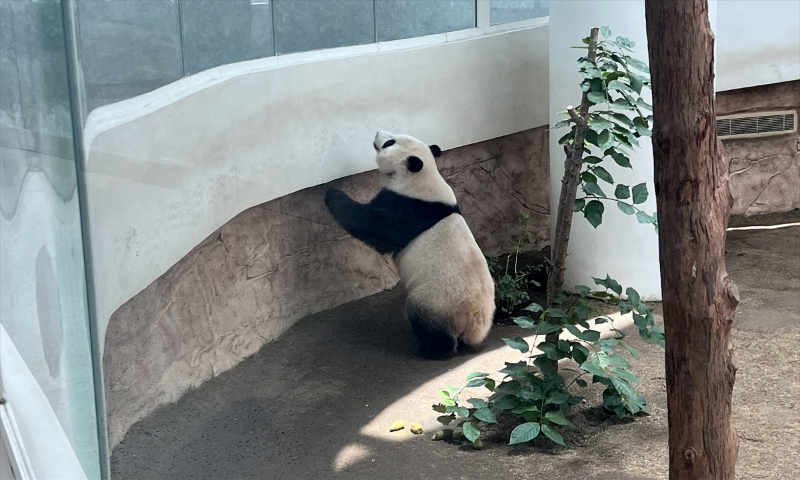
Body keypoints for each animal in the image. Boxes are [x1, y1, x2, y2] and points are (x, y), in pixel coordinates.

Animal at [324, 130, 495, 359]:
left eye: (390, 142)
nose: (377, 132)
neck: (422, 175)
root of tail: (473, 322)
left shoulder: (408, 206)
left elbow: (375, 227)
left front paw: (332, 194)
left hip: (436, 300)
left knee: (429, 324)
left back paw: (432, 350)